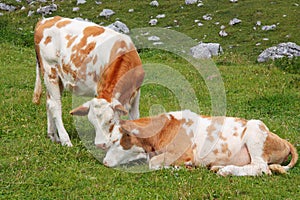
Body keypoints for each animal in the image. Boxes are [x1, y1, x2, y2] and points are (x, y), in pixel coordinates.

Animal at [32, 16, 144, 147]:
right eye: (92, 122)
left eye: (110, 120)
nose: (100, 144)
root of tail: (44, 20)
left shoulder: (137, 92)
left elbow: (135, 117)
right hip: (50, 71)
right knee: (55, 105)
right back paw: (65, 140)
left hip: (57, 78)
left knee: (49, 102)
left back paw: (53, 136)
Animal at [103, 109, 298, 177]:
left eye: (117, 141)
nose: (104, 162)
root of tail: (283, 140)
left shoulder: (183, 153)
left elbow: (154, 163)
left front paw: (181, 168)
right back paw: (218, 167)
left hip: (255, 132)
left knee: (261, 168)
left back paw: (226, 171)